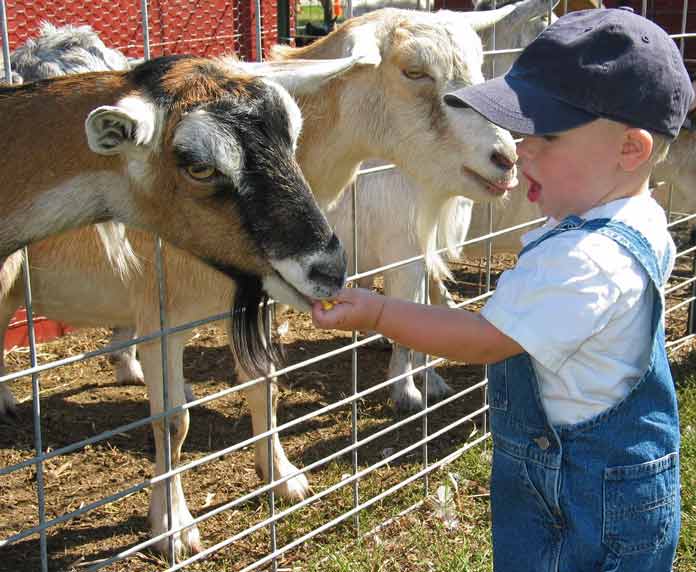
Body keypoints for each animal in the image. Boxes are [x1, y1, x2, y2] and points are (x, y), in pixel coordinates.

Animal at [0, 4, 544, 556]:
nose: (506, 159)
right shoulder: (162, 317)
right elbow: (172, 422)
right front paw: (173, 526)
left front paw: (282, 477)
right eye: (413, 71)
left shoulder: (261, 299)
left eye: (476, 63)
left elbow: (266, 386)